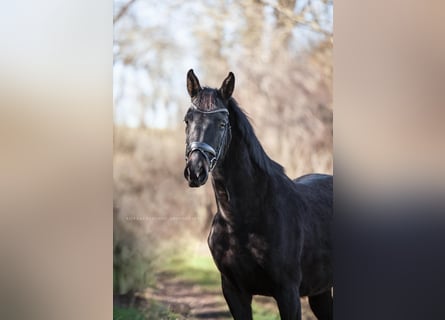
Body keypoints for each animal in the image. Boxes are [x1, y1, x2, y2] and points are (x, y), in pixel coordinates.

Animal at [182, 70, 332, 320]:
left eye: (222, 124)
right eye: (187, 120)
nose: (195, 171)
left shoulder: (288, 293)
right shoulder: (234, 291)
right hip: (320, 292)